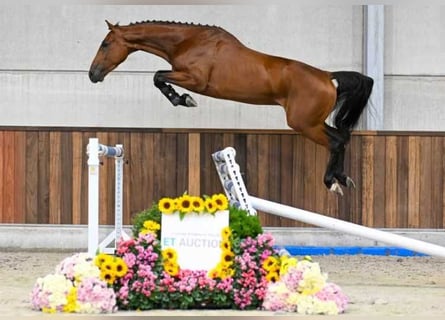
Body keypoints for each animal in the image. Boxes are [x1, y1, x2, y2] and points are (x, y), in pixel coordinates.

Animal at [88, 20, 372, 195]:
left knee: (336, 142)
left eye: (105, 44)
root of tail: (327, 76)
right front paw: (182, 99)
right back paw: (343, 178)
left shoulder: (195, 80)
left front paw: (183, 100)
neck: (188, 41)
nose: (93, 74)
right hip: (312, 123)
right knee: (341, 138)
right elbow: (159, 77)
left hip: (303, 124)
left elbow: (158, 76)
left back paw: (331, 183)